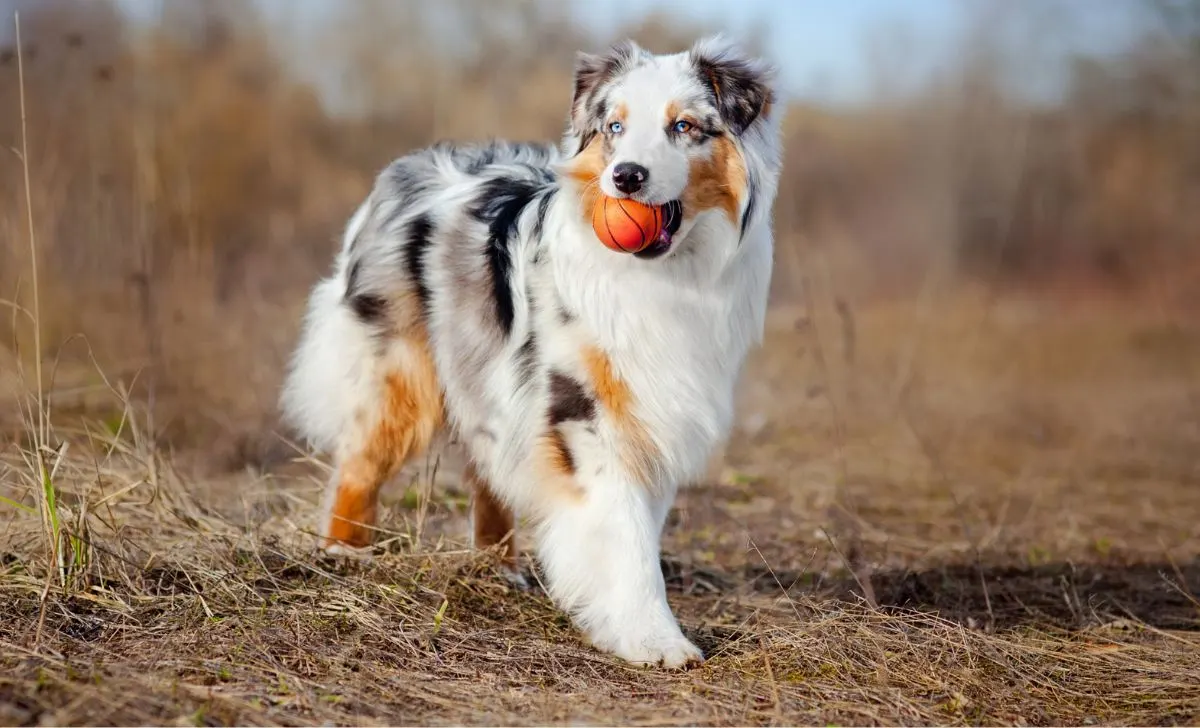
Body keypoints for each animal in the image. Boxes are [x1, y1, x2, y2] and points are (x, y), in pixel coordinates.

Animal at [280, 37, 787, 671]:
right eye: (615, 127)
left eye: (684, 126)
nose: (626, 177)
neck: (664, 277)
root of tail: (406, 167)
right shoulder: (584, 413)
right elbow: (624, 534)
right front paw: (654, 639)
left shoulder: (652, 411)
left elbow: (637, 527)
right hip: (401, 374)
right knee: (360, 463)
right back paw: (343, 554)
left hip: (487, 377)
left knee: (486, 468)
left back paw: (497, 569)